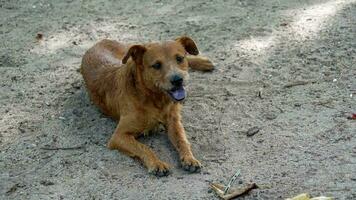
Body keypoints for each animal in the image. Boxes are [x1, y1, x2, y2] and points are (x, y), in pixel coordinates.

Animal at [80, 36, 213, 176]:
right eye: (156, 65)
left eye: (179, 58)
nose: (177, 80)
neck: (154, 99)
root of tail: (100, 41)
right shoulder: (118, 136)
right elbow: (143, 147)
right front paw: (156, 163)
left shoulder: (174, 122)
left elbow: (182, 141)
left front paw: (189, 158)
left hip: (127, 52)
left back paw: (204, 62)